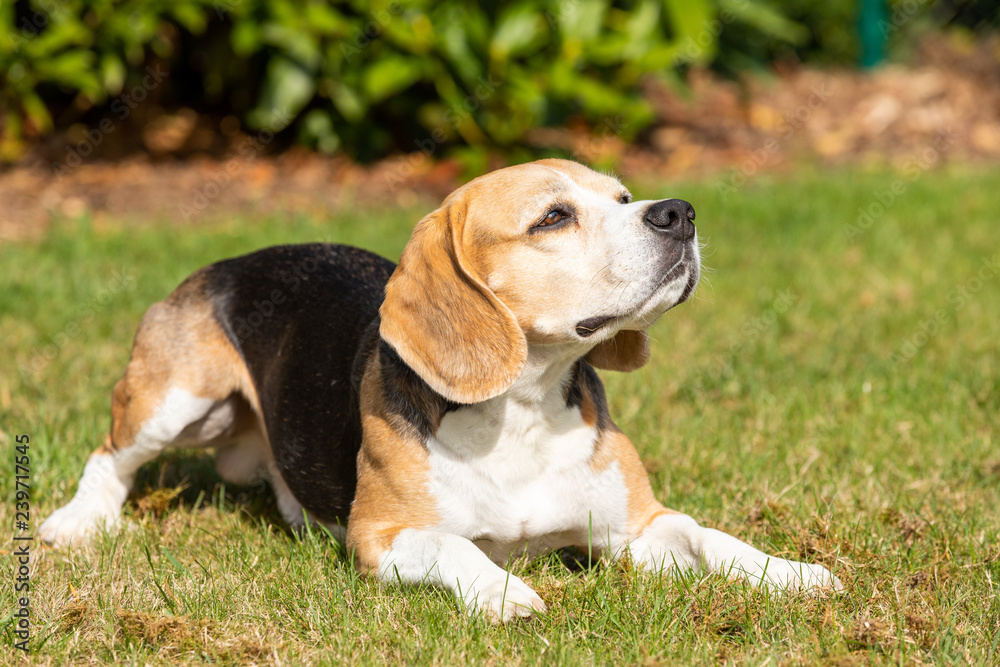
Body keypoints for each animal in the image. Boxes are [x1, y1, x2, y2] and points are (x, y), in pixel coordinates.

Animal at [39, 160, 836, 620]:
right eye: (553, 217)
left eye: (624, 196)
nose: (679, 212)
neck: (523, 412)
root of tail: (231, 259)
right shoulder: (381, 537)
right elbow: (458, 549)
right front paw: (506, 592)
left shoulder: (637, 528)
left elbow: (710, 537)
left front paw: (791, 573)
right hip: (173, 402)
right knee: (109, 457)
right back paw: (76, 522)